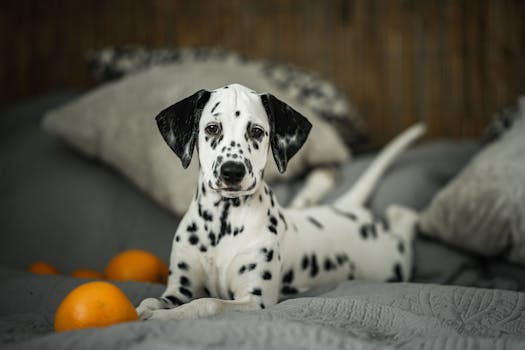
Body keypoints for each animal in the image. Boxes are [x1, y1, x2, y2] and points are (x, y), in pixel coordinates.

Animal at [136, 82, 422, 320]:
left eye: (256, 131)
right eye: (212, 128)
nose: (232, 171)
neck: (223, 222)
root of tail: (346, 208)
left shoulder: (254, 300)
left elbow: (207, 303)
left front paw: (163, 317)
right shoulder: (180, 288)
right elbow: (155, 300)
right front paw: (144, 311)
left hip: (391, 263)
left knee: (405, 227)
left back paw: (402, 214)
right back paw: (320, 179)